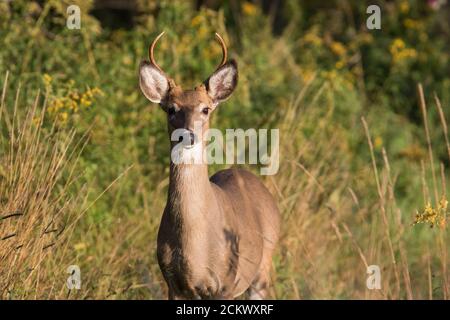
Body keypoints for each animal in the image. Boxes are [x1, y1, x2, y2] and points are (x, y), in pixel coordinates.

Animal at [139, 32, 280, 300]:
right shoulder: (173, 283)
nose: (188, 135)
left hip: (262, 269)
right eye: (171, 109)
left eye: (205, 109)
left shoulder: (224, 282)